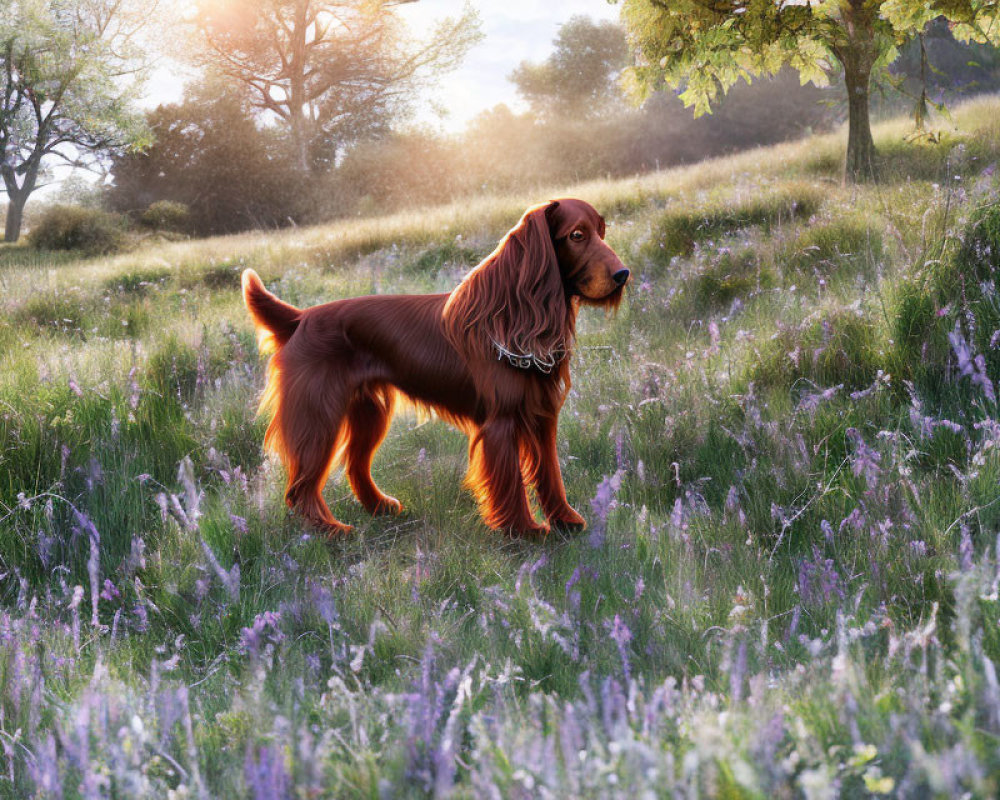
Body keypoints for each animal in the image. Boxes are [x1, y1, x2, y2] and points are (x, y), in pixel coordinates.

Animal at [243, 198, 628, 536]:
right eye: (576, 235)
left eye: (601, 231)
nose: (624, 274)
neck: (513, 315)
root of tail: (301, 318)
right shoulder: (502, 422)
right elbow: (511, 482)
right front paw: (524, 530)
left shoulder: (542, 417)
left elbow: (551, 475)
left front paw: (565, 520)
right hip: (318, 417)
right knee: (301, 486)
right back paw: (329, 530)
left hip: (368, 413)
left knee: (354, 466)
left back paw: (379, 507)